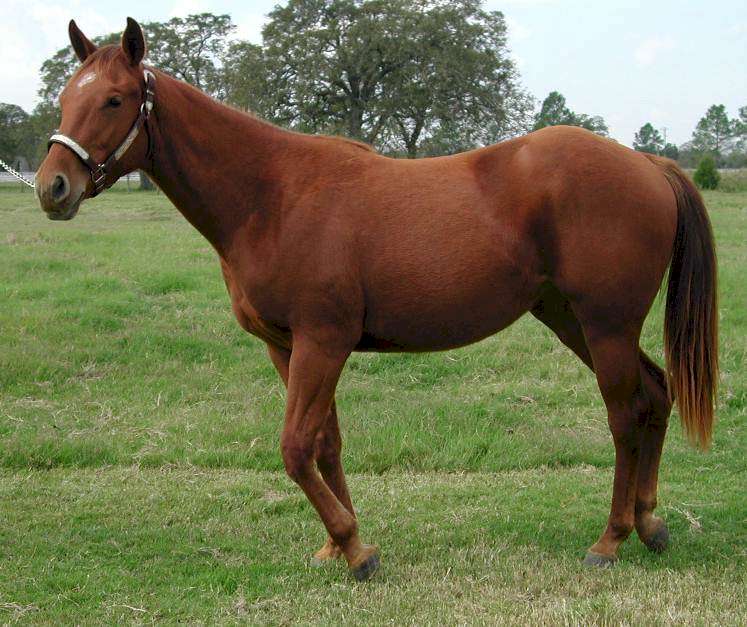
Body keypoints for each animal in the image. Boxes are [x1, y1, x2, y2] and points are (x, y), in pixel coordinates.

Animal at [35, 18, 718, 581]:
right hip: (573, 321)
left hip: (605, 327)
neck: (272, 195)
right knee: (655, 396)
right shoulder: (290, 348)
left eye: (114, 99)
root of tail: (647, 164)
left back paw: (612, 539)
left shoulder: (323, 342)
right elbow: (324, 444)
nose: (52, 187)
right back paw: (651, 524)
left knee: (625, 417)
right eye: (66, 97)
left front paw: (356, 550)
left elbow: (294, 448)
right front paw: (338, 546)